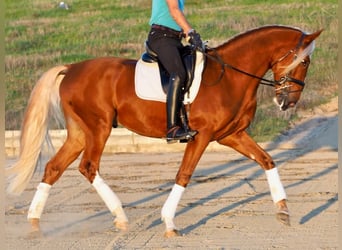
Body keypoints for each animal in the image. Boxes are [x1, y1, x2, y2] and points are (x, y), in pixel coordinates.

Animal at [8, 25, 324, 238]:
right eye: (305, 61)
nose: (288, 102)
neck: (231, 76)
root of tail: (71, 68)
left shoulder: (231, 135)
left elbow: (267, 160)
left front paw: (283, 210)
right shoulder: (203, 136)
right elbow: (184, 175)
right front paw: (170, 223)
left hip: (79, 132)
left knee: (53, 168)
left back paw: (34, 223)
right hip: (98, 127)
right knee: (88, 166)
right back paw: (120, 217)